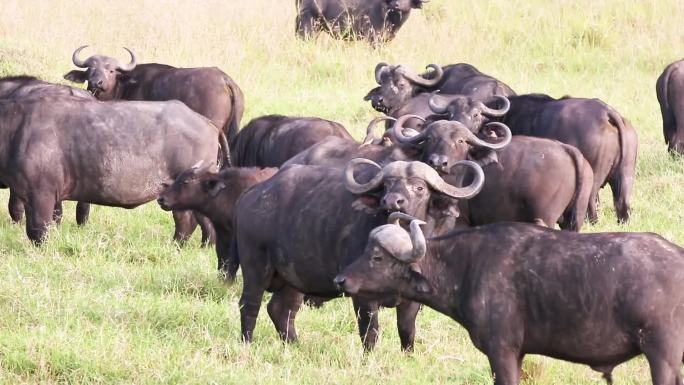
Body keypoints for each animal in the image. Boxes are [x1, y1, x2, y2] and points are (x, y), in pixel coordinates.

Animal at [0, 97, 219, 244]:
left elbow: (39, 231)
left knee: (188, 221)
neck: (15, 129)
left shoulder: (41, 195)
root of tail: (208, 123)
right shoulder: (28, 196)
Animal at [232, 158, 484, 350]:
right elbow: (370, 332)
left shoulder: (412, 300)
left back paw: (295, 345)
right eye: (387, 186)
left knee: (281, 310)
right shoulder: (362, 297)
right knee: (249, 304)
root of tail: (251, 196)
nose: (392, 201)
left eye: (420, 188)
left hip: (293, 279)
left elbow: (407, 331)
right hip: (256, 265)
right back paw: (247, 344)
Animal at [336, 213, 684, 384]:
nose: (341, 279)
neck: (467, 266)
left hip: (662, 356)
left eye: (377, 257)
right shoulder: (517, 356)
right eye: (367, 250)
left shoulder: (501, 352)